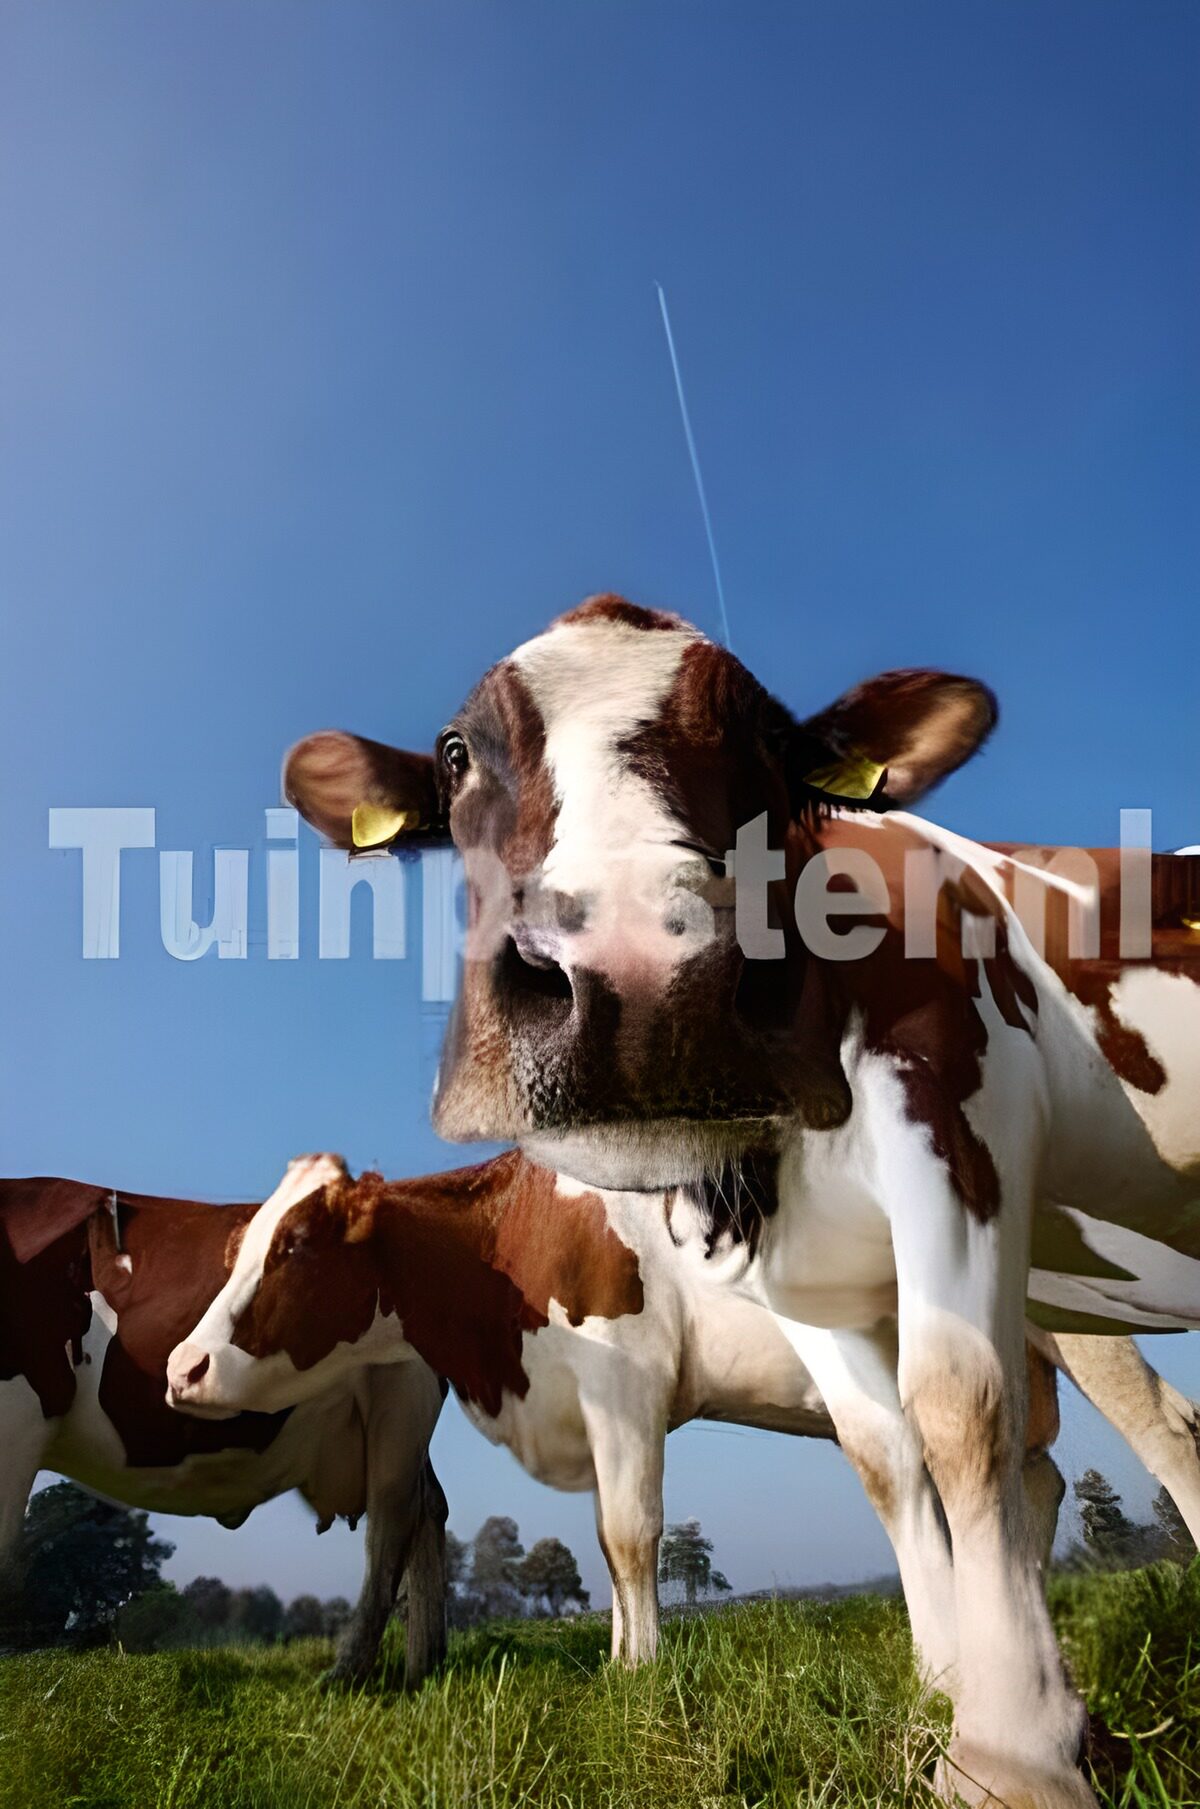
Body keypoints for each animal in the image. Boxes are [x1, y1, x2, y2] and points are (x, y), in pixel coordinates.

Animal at [0, 1160, 446, 1685]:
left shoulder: (16, 1417)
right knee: (429, 1510)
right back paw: (423, 1669)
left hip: (400, 1396)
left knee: (392, 1524)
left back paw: (349, 1672)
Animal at [168, 1150, 1200, 1673]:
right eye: (242, 1243)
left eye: (295, 1244)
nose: (182, 1365)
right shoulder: (590, 1410)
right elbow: (604, 1540)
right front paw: (624, 1661)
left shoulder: (626, 1383)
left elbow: (631, 1535)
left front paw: (642, 1675)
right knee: (1034, 1475)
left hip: (1079, 1324)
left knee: (1164, 1430)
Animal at [279, 594, 1200, 1807]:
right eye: (454, 753)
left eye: (773, 739)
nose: (641, 985)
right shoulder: (800, 1277)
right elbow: (888, 1457)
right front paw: (948, 1692)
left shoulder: (959, 1122)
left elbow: (957, 1408)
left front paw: (1011, 1757)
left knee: (1157, 1431)